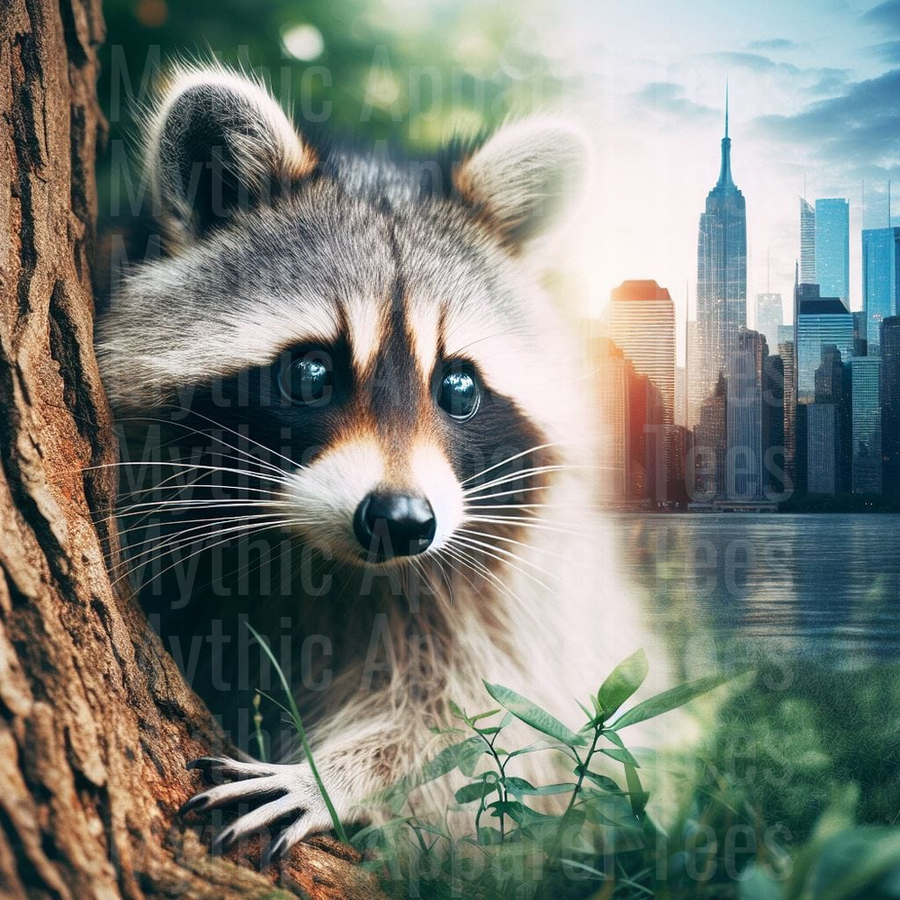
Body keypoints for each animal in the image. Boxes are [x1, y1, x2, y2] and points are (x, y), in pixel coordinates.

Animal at [96, 65, 662, 863]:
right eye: (310, 374)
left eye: (458, 386)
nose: (400, 521)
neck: (315, 560)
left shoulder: (517, 588)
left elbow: (487, 724)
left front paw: (334, 775)